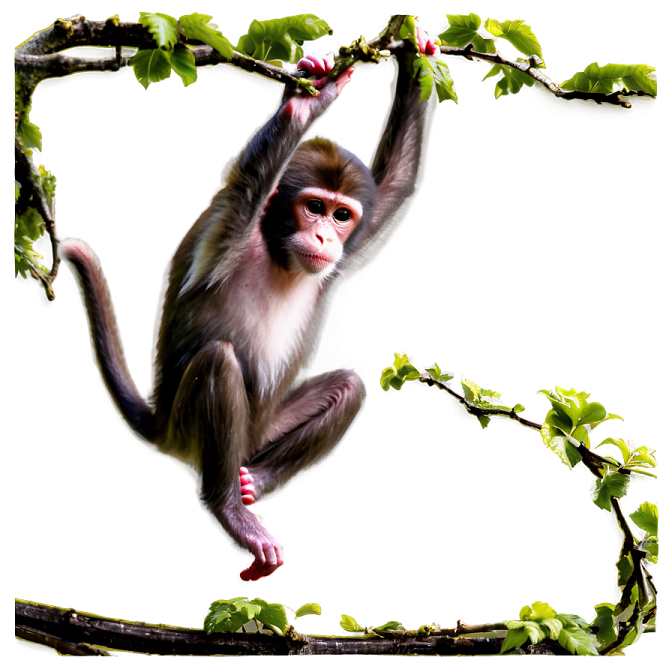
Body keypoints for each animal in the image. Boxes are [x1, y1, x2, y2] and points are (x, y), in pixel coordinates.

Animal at [59, 32, 440, 582]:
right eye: (314, 207)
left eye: (342, 215)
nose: (325, 236)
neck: (276, 249)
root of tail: (160, 422)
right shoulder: (227, 227)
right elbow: (244, 182)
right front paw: (305, 103)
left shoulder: (354, 238)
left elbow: (393, 184)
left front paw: (416, 53)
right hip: (189, 429)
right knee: (220, 362)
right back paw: (228, 508)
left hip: (260, 432)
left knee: (347, 388)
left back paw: (255, 483)